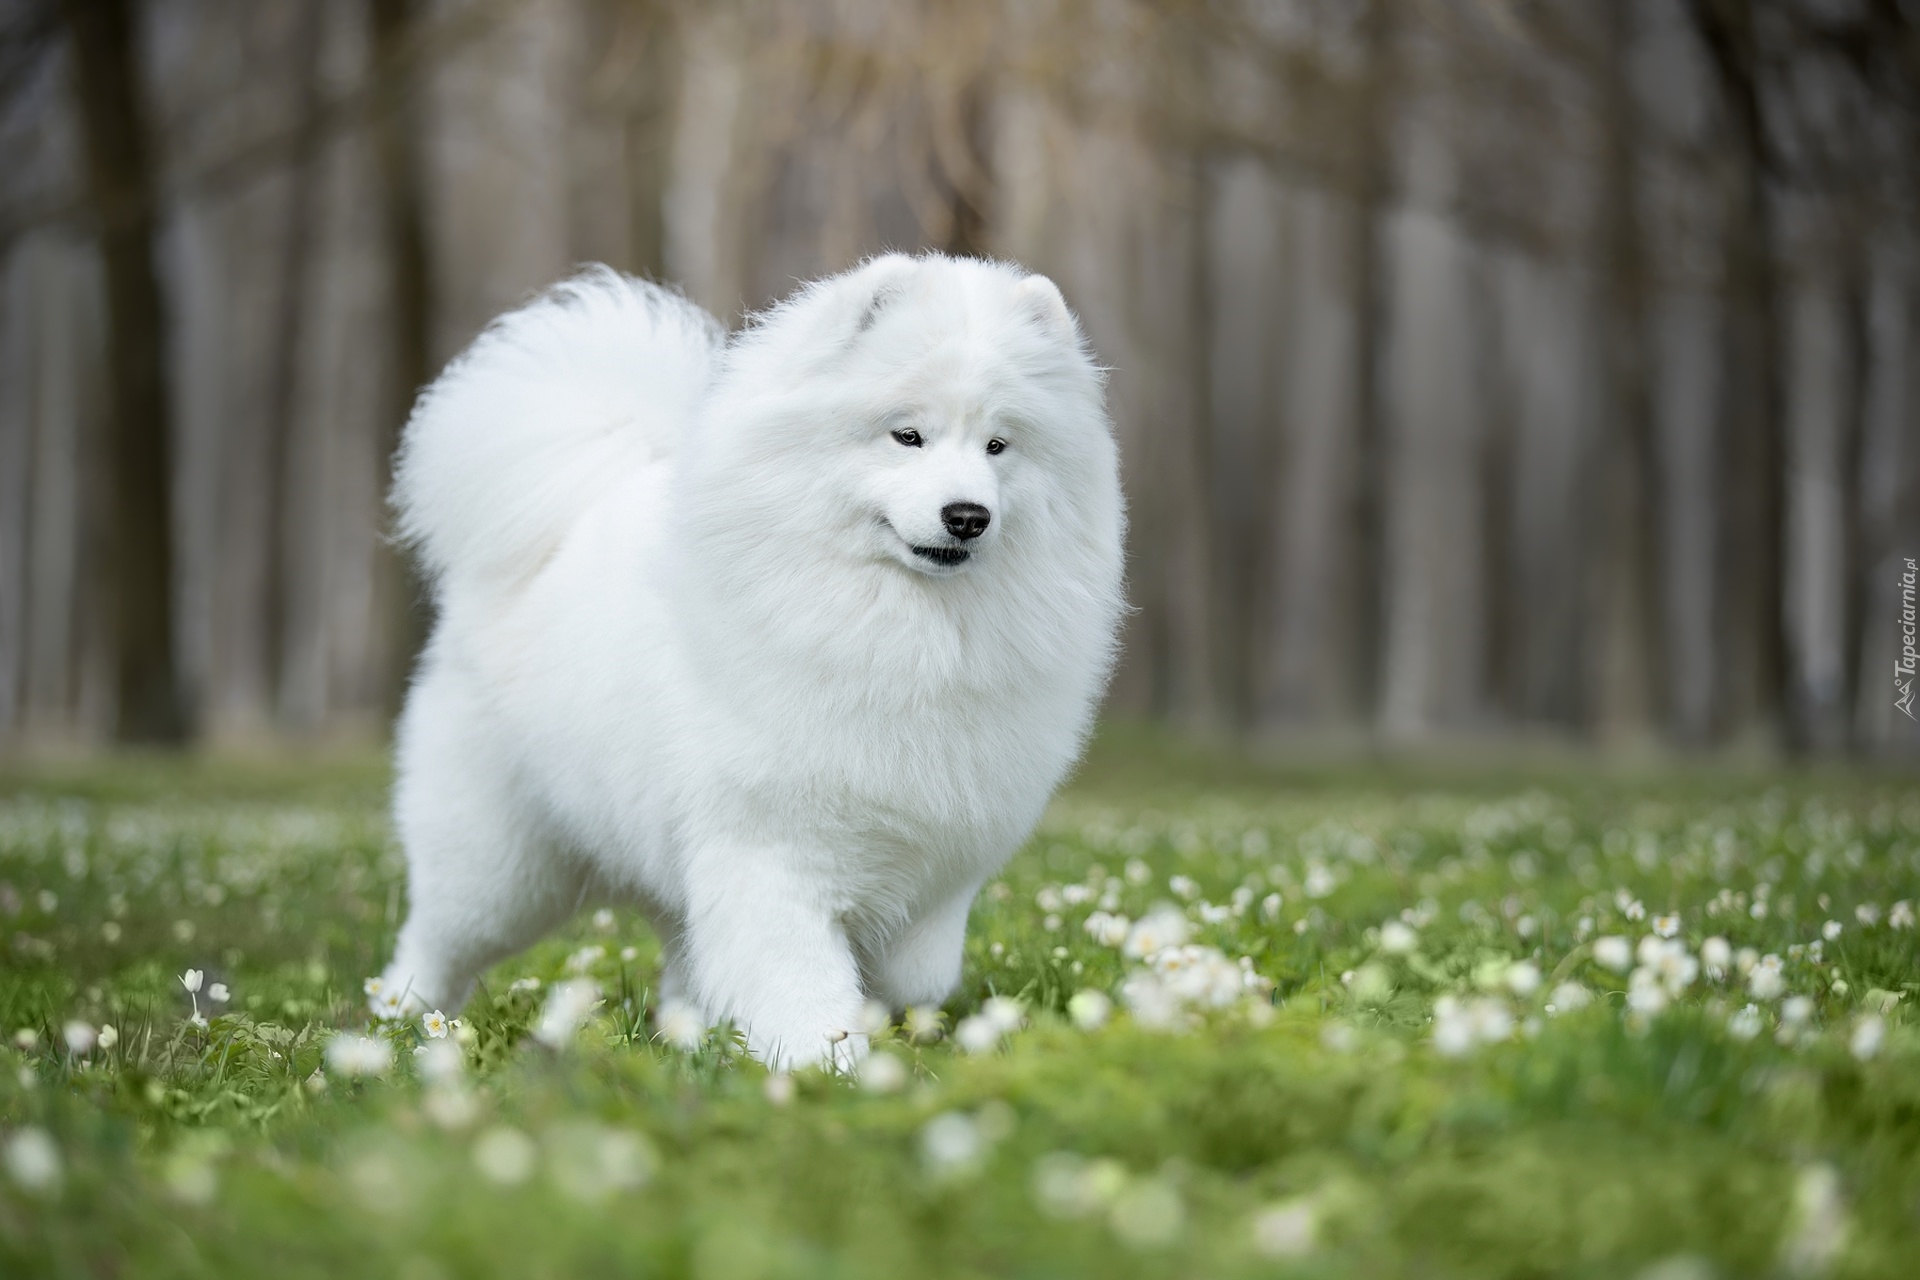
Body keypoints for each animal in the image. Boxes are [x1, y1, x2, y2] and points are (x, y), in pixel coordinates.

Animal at [374, 253, 1121, 1074]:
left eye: (998, 446)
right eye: (907, 435)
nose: (968, 516)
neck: (896, 628)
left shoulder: (936, 864)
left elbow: (916, 972)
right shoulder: (769, 853)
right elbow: (798, 980)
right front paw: (828, 1068)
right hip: (501, 862)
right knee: (439, 939)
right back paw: (399, 1023)